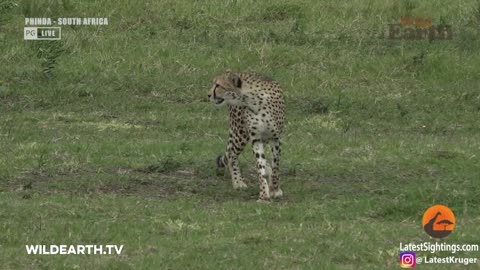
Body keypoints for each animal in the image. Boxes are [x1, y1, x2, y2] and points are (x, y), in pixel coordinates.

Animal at [207, 70, 284, 201]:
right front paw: (264, 195)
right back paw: (238, 182)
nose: (208, 95)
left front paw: (274, 189)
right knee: (231, 153)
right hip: (240, 132)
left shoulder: (275, 137)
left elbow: (275, 164)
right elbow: (260, 165)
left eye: (218, 85)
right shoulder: (256, 138)